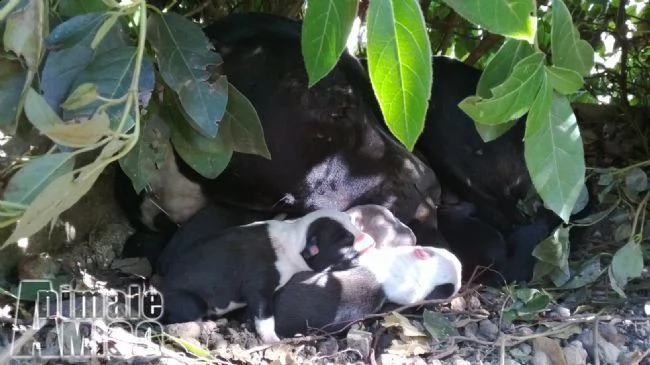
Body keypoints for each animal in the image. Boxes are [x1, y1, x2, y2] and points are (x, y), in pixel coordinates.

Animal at [153, 206, 374, 342]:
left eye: (352, 222)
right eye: (345, 241)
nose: (372, 241)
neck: (296, 237)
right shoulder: (258, 287)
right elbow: (265, 316)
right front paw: (272, 340)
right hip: (190, 301)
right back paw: (207, 325)